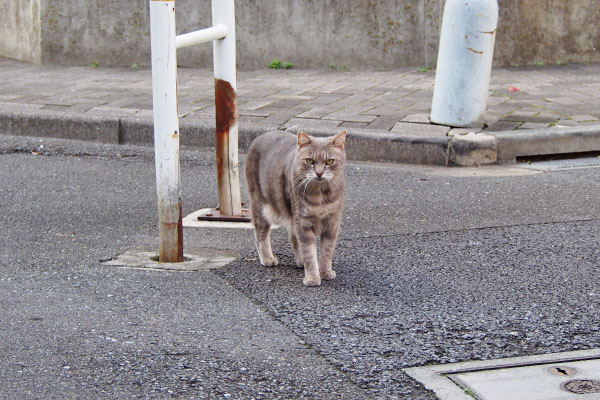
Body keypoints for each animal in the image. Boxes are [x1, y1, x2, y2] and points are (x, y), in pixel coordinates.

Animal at [244, 130, 346, 286]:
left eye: (330, 161)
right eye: (310, 161)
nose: (319, 173)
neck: (321, 195)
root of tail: (261, 135)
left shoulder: (332, 224)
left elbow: (326, 252)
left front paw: (325, 272)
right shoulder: (303, 223)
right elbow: (309, 253)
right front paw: (312, 277)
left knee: (292, 238)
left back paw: (300, 261)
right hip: (261, 206)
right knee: (261, 234)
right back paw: (267, 258)